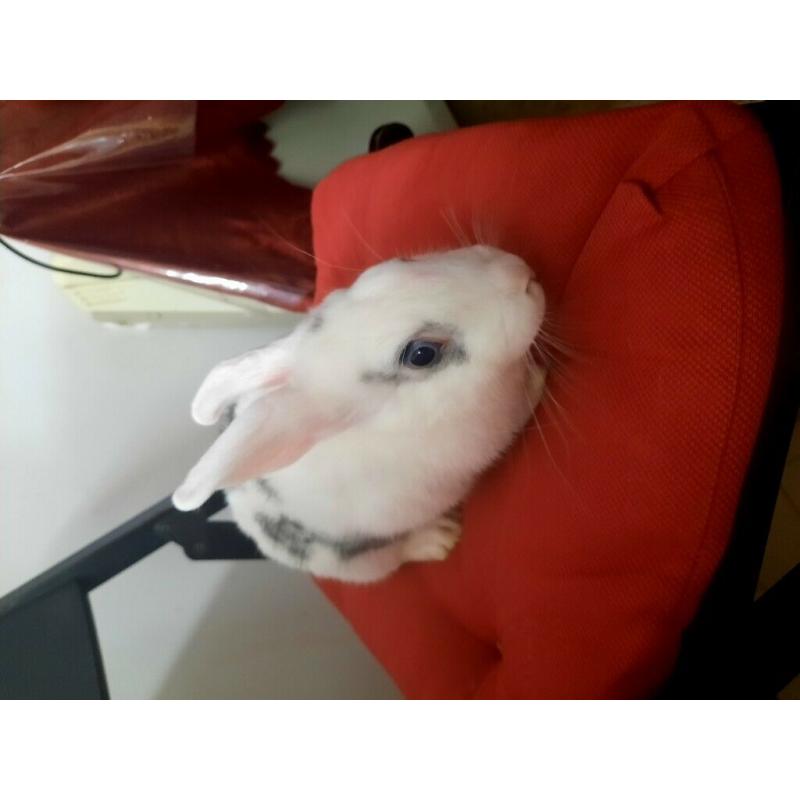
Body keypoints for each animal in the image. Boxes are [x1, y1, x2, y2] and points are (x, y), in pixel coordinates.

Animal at [172, 244, 547, 583]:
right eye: (422, 354)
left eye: (398, 263)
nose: (520, 274)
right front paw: (540, 377)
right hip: (357, 562)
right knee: (393, 557)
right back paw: (439, 537)